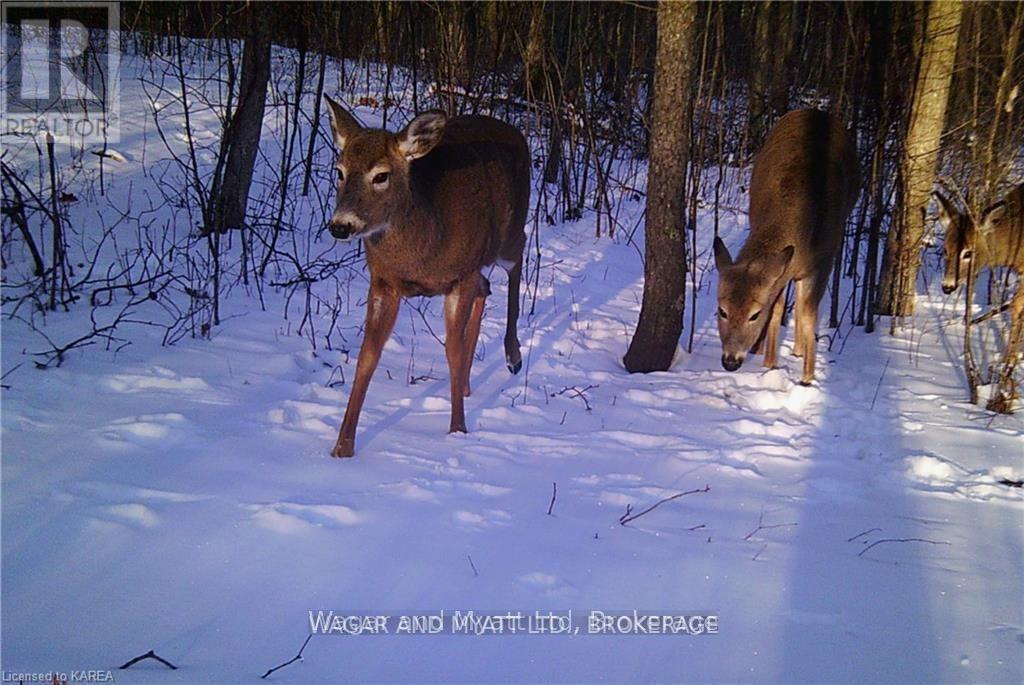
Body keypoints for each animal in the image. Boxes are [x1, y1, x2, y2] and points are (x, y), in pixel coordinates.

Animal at [321, 96, 532, 456]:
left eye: (381, 175)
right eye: (340, 171)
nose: (340, 225)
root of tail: (515, 131)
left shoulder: (459, 276)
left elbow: (453, 350)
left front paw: (457, 429)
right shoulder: (384, 281)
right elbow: (368, 356)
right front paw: (342, 447)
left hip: (509, 233)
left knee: (519, 260)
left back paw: (512, 355)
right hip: (480, 262)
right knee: (486, 287)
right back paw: (465, 385)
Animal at [708, 108, 860, 384]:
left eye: (754, 314)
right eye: (722, 310)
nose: (730, 361)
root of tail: (814, 110)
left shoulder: (826, 256)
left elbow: (809, 312)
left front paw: (807, 377)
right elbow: (778, 308)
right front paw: (769, 364)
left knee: (802, 302)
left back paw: (800, 350)